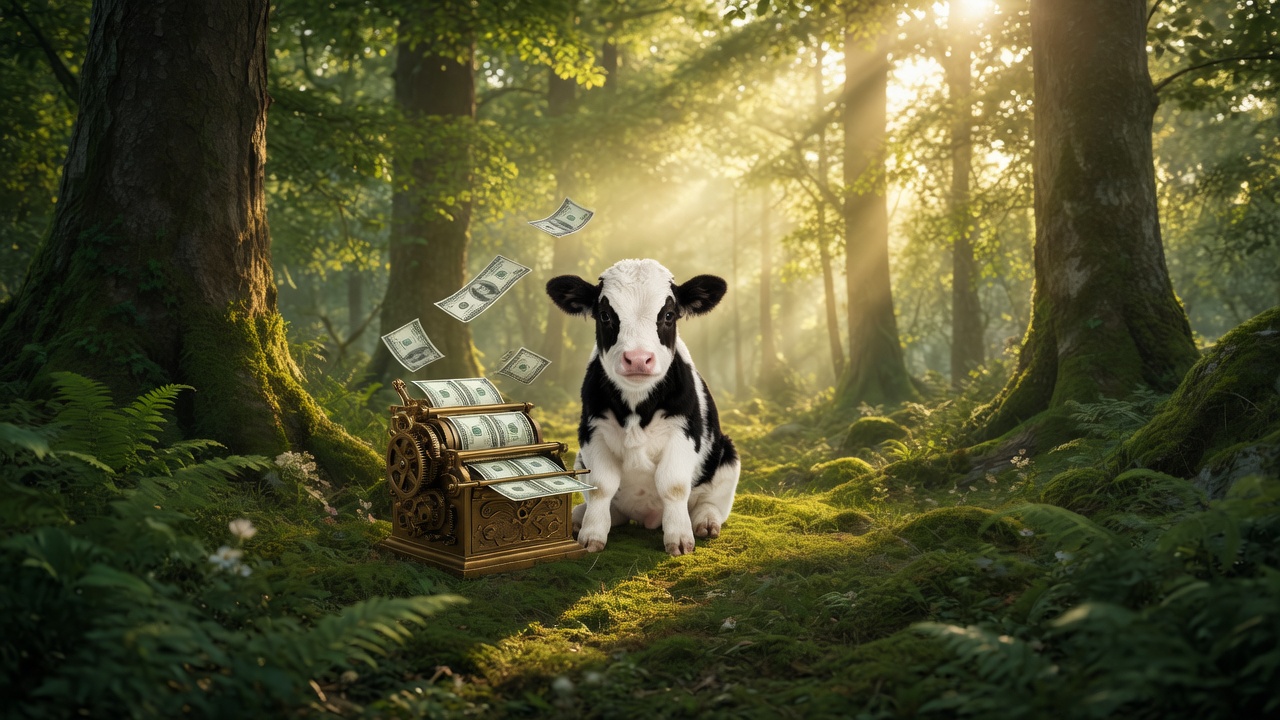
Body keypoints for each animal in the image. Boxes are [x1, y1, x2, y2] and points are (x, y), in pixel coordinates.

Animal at [546, 258, 740, 556]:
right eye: (605, 315)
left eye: (669, 315)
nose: (637, 359)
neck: (636, 408)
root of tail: (647, 517)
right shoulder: (592, 431)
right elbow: (601, 486)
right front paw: (591, 537)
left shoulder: (684, 432)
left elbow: (673, 486)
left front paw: (679, 540)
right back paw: (578, 518)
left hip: (728, 456)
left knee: (712, 502)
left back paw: (705, 522)